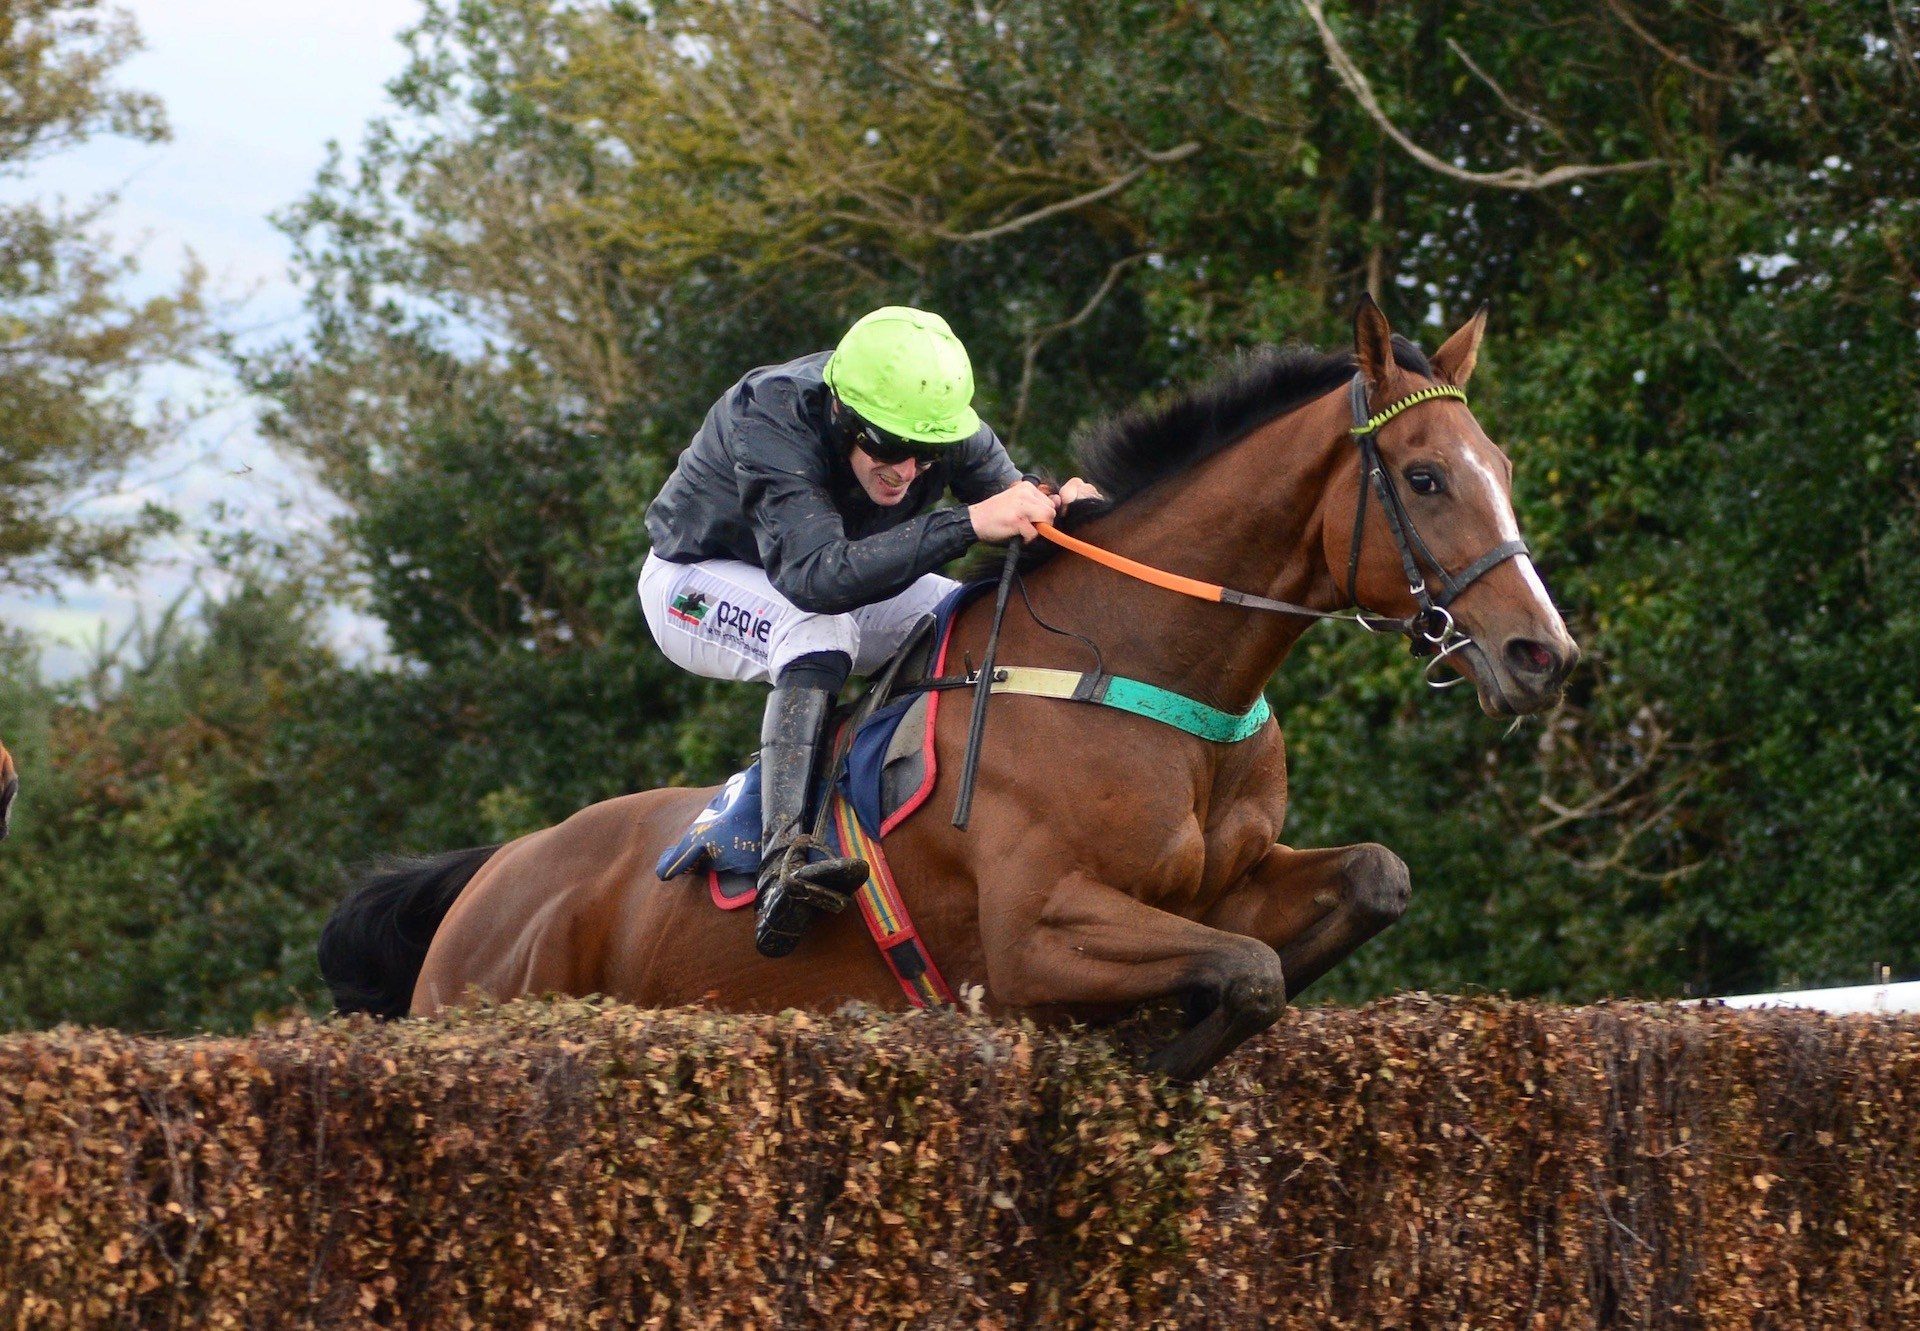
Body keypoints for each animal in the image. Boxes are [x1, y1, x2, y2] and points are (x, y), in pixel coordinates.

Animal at [318, 301, 1574, 1083]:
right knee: (810, 642)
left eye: (1506, 470)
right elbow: (1250, 973)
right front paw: (1152, 1062)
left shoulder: (1231, 883)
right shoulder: (1035, 934)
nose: (1540, 654)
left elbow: (1367, 883)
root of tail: (493, 874)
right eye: (1424, 477)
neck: (1148, 674)